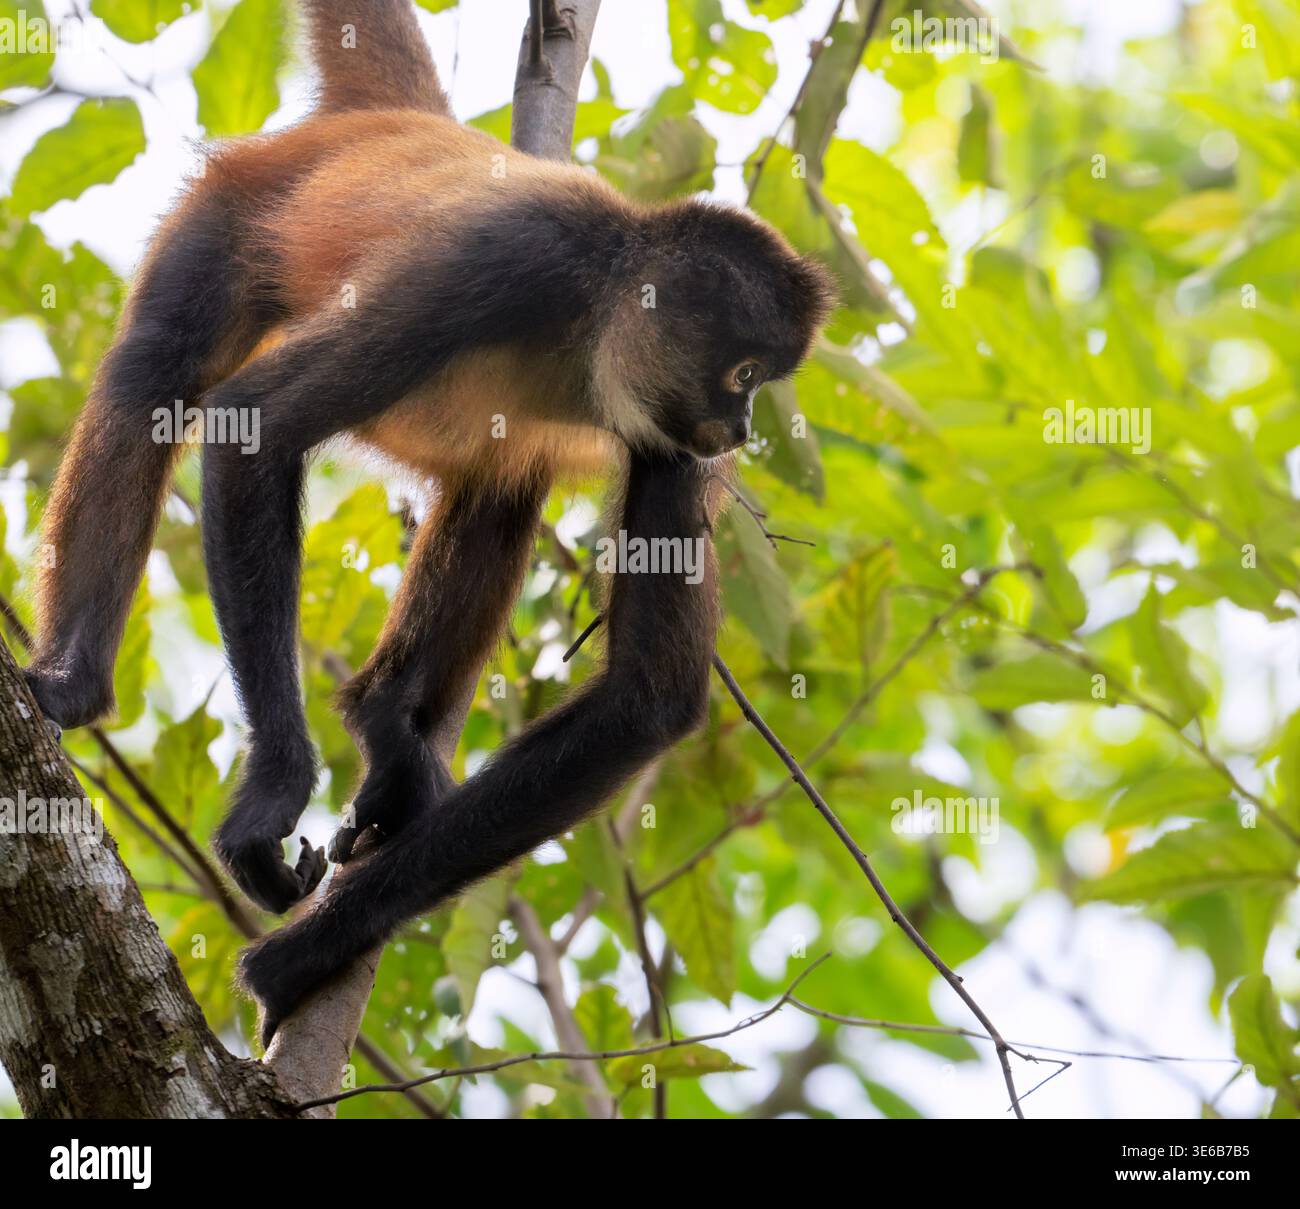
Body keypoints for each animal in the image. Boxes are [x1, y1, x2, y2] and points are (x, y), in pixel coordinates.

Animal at [21, 0, 834, 1035]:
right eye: (746, 374)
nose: (740, 430)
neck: (596, 316)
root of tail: (393, 123)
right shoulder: (512, 256)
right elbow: (252, 427)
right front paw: (273, 796)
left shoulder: (669, 435)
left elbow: (647, 699)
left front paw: (311, 952)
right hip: (241, 206)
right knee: (155, 370)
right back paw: (76, 682)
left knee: (503, 478)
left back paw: (385, 716)